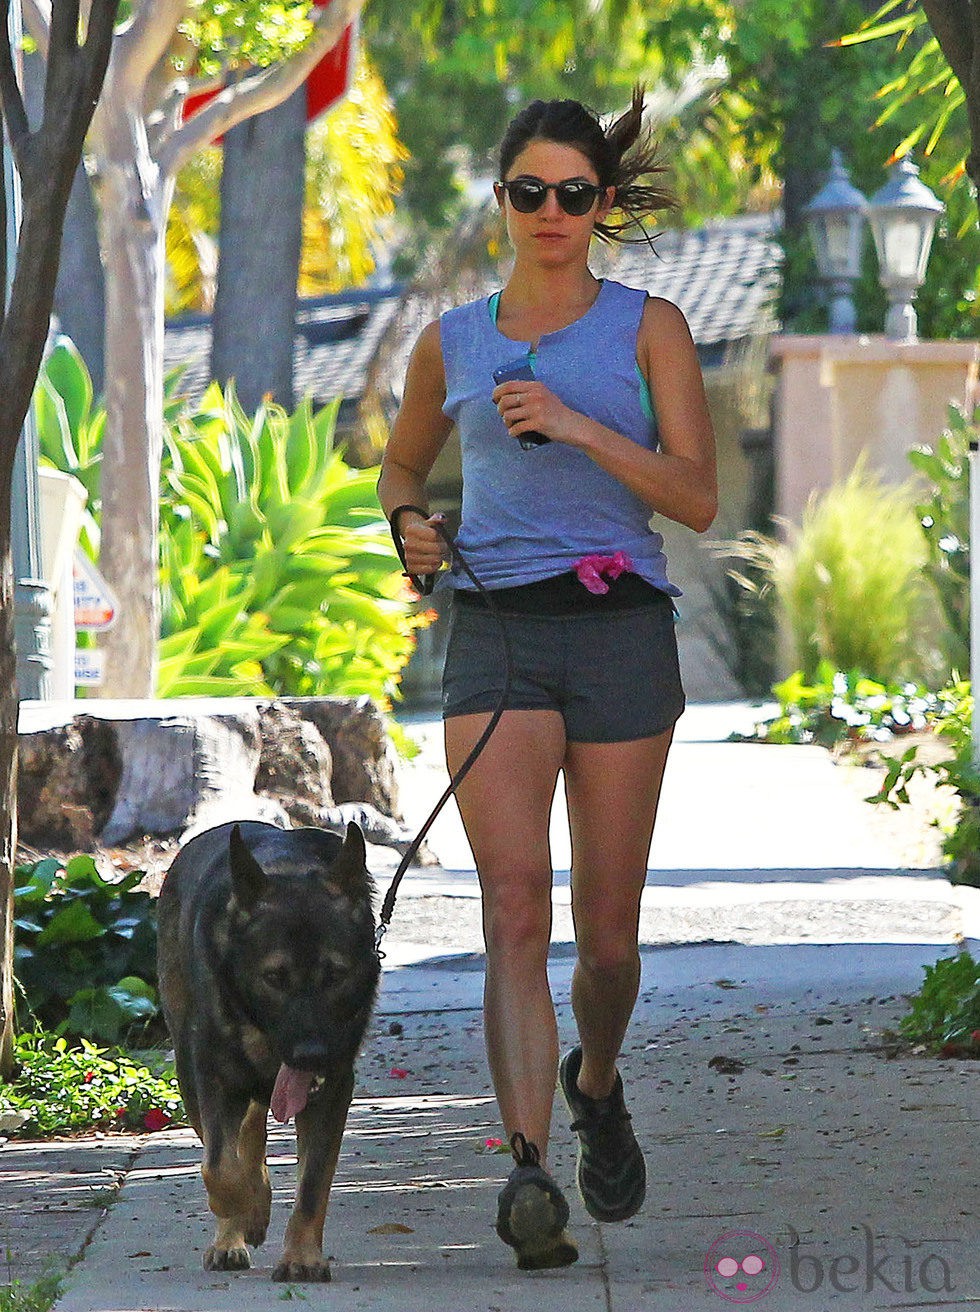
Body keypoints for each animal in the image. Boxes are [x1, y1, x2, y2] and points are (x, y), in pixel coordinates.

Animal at [157, 818, 380, 1280]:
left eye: (335, 975)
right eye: (275, 977)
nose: (312, 1054)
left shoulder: (332, 1090)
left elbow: (312, 1183)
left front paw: (301, 1258)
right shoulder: (212, 1078)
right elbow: (219, 1167)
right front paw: (246, 1207)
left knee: (252, 1130)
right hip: (190, 1076)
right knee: (233, 1145)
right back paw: (233, 1234)